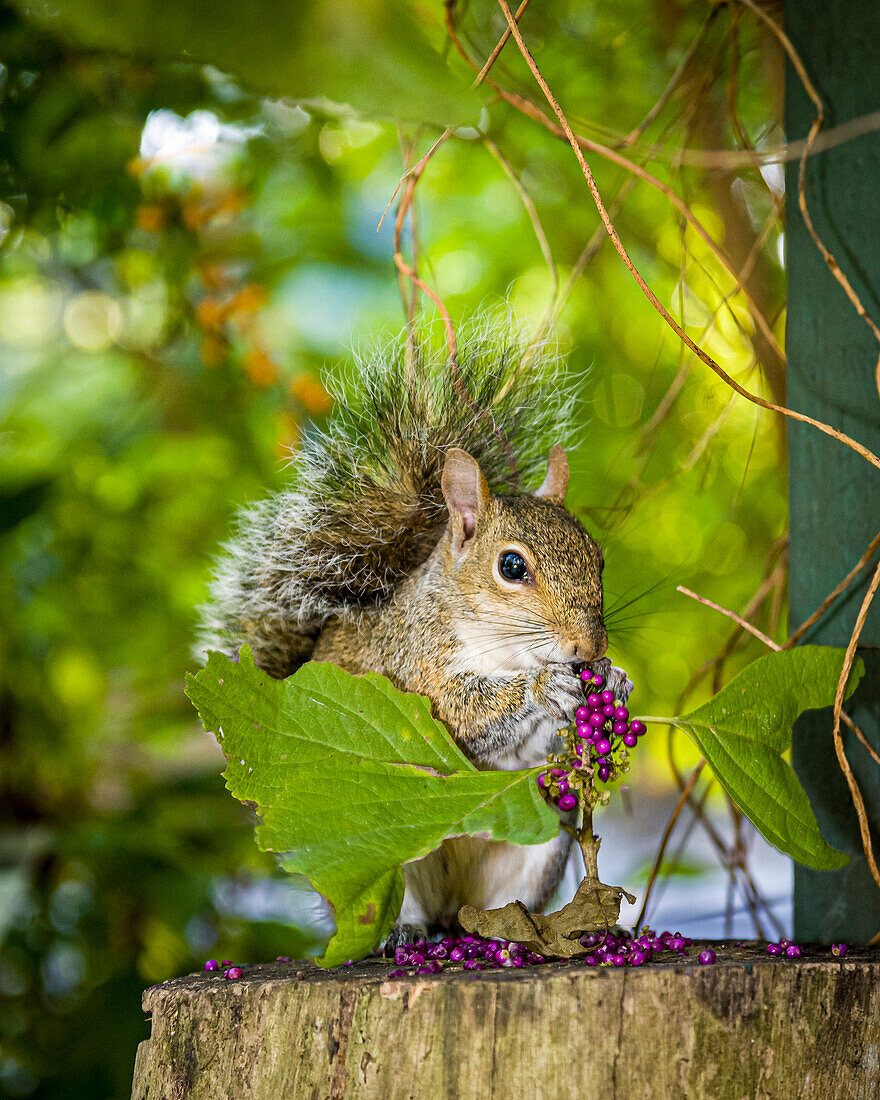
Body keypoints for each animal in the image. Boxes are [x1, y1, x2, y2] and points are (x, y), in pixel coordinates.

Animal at [195, 325, 629, 946]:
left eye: (598, 557)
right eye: (512, 567)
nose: (589, 649)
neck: (502, 646)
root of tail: (452, 912)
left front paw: (613, 680)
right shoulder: (412, 663)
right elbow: (461, 715)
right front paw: (545, 687)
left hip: (538, 846)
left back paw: (514, 930)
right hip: (372, 849)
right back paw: (405, 932)